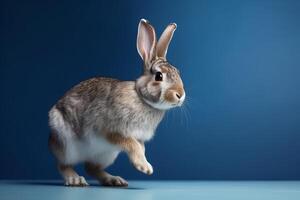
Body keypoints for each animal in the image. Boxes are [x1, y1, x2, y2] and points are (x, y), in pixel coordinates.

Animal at [48, 18, 185, 187]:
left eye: (178, 72)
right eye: (159, 76)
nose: (180, 95)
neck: (142, 98)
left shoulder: (138, 138)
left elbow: (141, 147)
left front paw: (143, 163)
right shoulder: (110, 130)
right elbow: (131, 144)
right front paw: (145, 167)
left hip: (107, 154)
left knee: (91, 167)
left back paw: (114, 180)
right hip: (67, 145)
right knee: (63, 164)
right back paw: (75, 180)